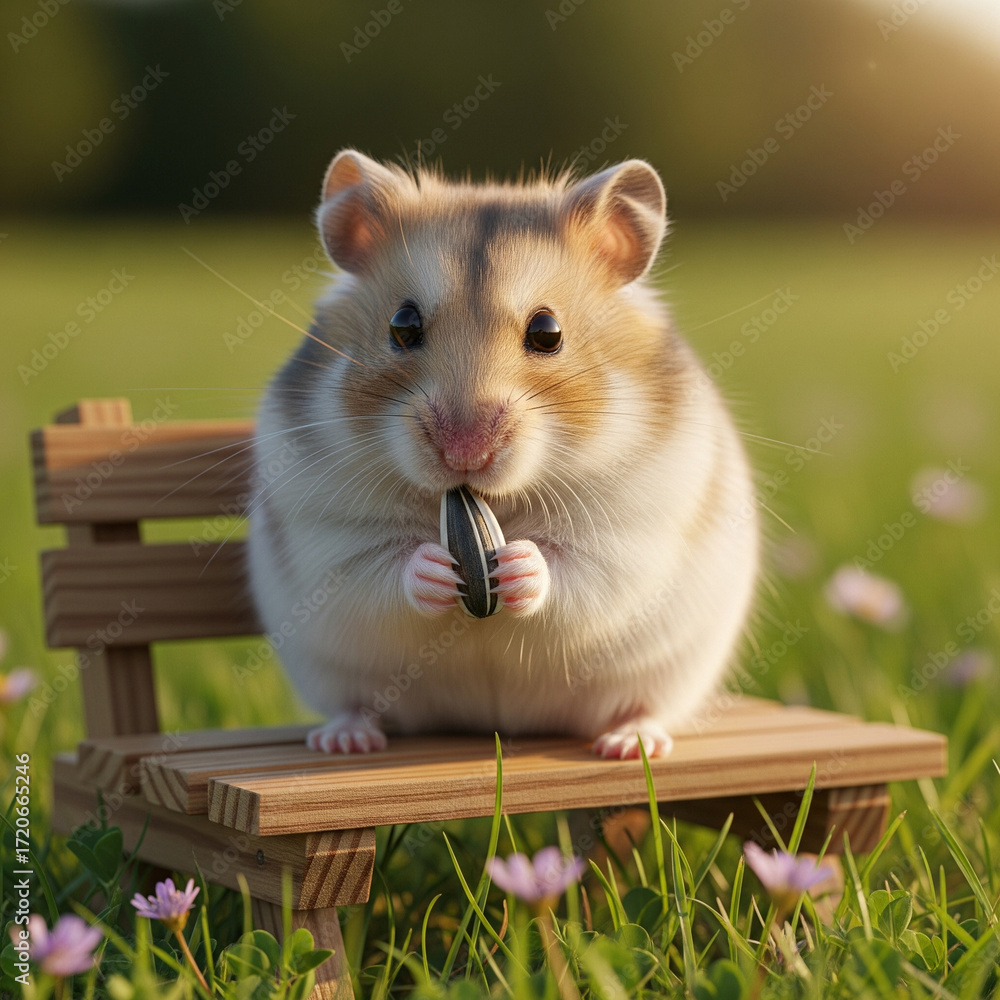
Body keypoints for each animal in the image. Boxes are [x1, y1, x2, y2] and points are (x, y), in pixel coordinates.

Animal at [246, 149, 759, 759]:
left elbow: (571, 568)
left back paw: (631, 742)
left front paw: (514, 564)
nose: (464, 450)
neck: (488, 499)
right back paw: (345, 740)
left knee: (645, 705)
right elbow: (384, 567)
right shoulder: (330, 536)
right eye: (402, 325)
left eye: (548, 331)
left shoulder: (628, 535)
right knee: (359, 703)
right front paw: (438, 567)